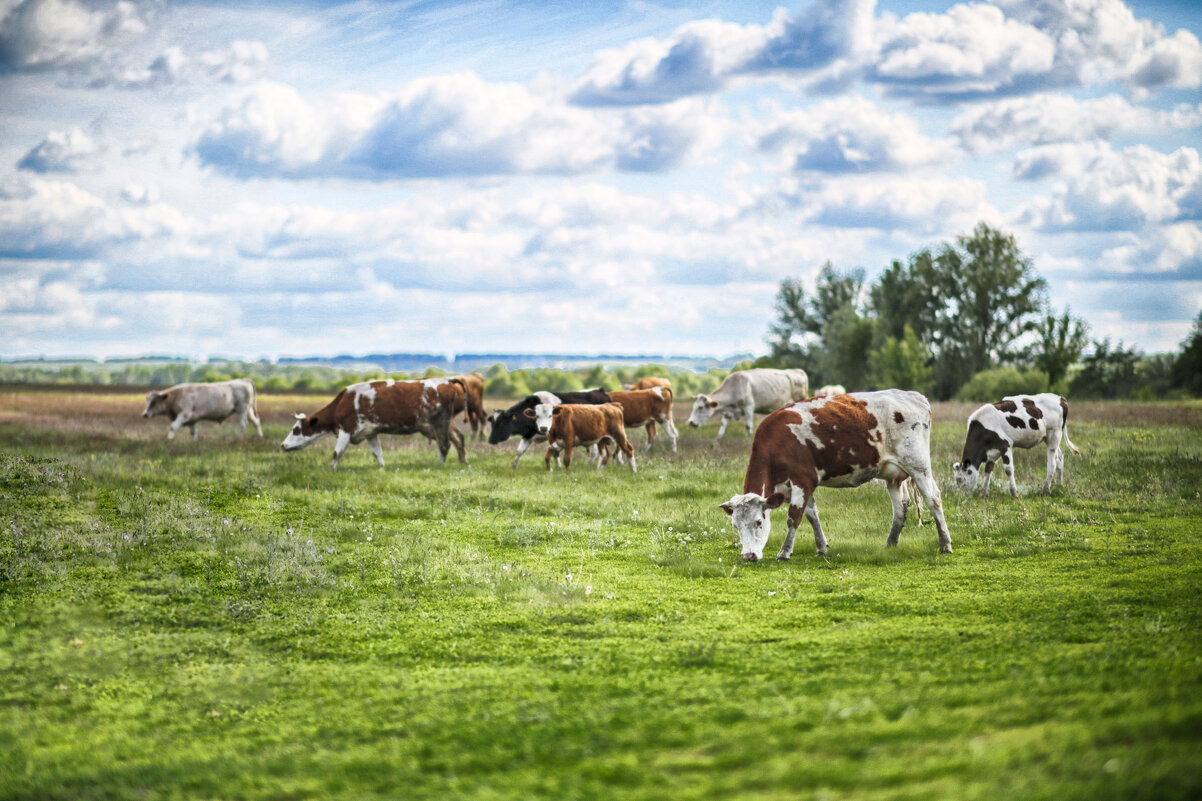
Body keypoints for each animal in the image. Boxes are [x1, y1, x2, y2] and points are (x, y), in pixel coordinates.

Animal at [281, 375, 463, 469]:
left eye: (296, 429)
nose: (283, 445)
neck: (343, 402)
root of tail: (447, 381)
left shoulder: (346, 429)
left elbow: (337, 452)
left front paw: (332, 470)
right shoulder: (370, 433)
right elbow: (377, 453)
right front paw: (382, 469)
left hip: (441, 422)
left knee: (445, 444)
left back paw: (439, 465)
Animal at [716, 389, 951, 558]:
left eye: (758, 522)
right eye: (735, 525)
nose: (748, 556)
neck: (777, 442)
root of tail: (914, 396)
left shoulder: (803, 481)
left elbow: (794, 518)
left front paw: (784, 552)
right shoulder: (800, 486)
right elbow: (812, 516)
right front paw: (821, 548)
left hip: (919, 466)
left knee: (933, 499)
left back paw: (945, 544)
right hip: (893, 475)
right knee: (900, 508)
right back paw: (890, 544)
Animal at [951, 392, 1086, 495]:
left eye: (960, 479)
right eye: (957, 480)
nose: (962, 496)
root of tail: (1060, 398)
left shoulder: (1005, 445)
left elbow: (1008, 469)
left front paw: (1014, 493)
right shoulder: (993, 450)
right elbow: (988, 469)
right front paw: (983, 493)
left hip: (1054, 434)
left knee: (1052, 463)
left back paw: (1045, 491)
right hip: (1049, 438)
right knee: (1060, 459)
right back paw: (1058, 486)